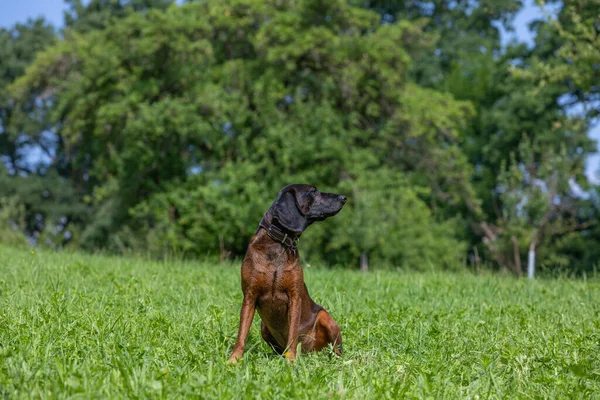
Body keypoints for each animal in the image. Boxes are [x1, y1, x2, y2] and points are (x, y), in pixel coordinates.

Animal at [229, 184, 346, 362]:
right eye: (313, 191)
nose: (343, 197)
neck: (279, 242)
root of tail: (310, 353)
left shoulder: (294, 296)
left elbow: (292, 334)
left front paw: (291, 361)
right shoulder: (249, 296)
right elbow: (241, 333)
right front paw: (234, 360)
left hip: (326, 318)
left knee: (336, 351)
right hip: (264, 327)